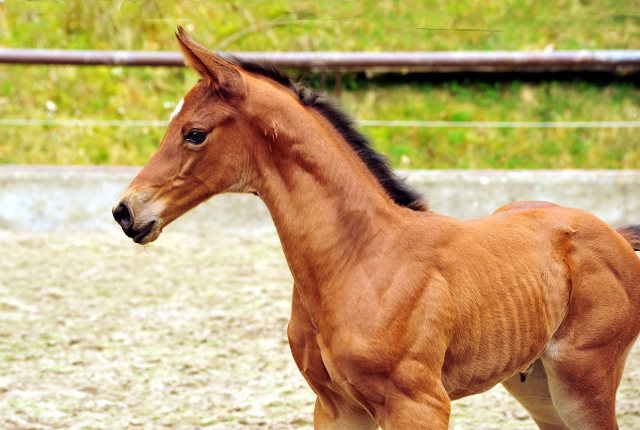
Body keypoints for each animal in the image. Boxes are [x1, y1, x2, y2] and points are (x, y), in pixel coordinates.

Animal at [114, 27, 640, 430]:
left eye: (194, 133)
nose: (125, 211)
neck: (359, 258)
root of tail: (615, 236)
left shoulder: (419, 406)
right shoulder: (336, 408)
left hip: (582, 381)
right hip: (535, 385)